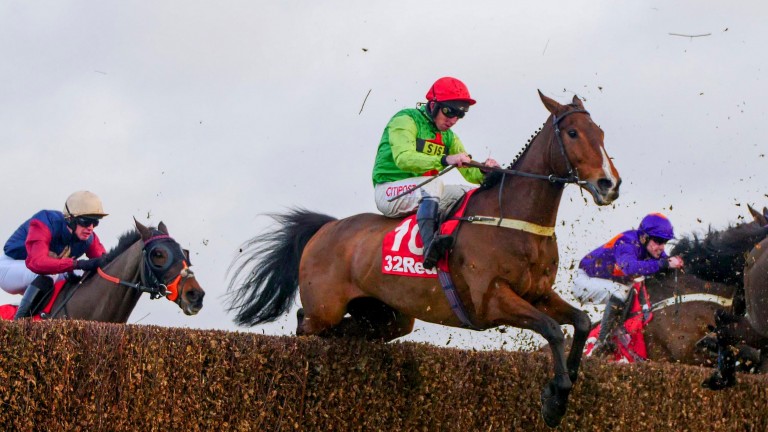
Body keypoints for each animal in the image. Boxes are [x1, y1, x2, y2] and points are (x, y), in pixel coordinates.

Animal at [230, 91, 624, 426]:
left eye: (602, 133)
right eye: (573, 133)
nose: (610, 185)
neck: (512, 220)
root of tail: (326, 228)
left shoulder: (538, 294)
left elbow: (582, 322)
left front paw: (565, 383)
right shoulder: (492, 300)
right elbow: (553, 329)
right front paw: (555, 399)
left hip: (387, 316)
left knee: (348, 333)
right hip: (323, 309)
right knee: (304, 326)